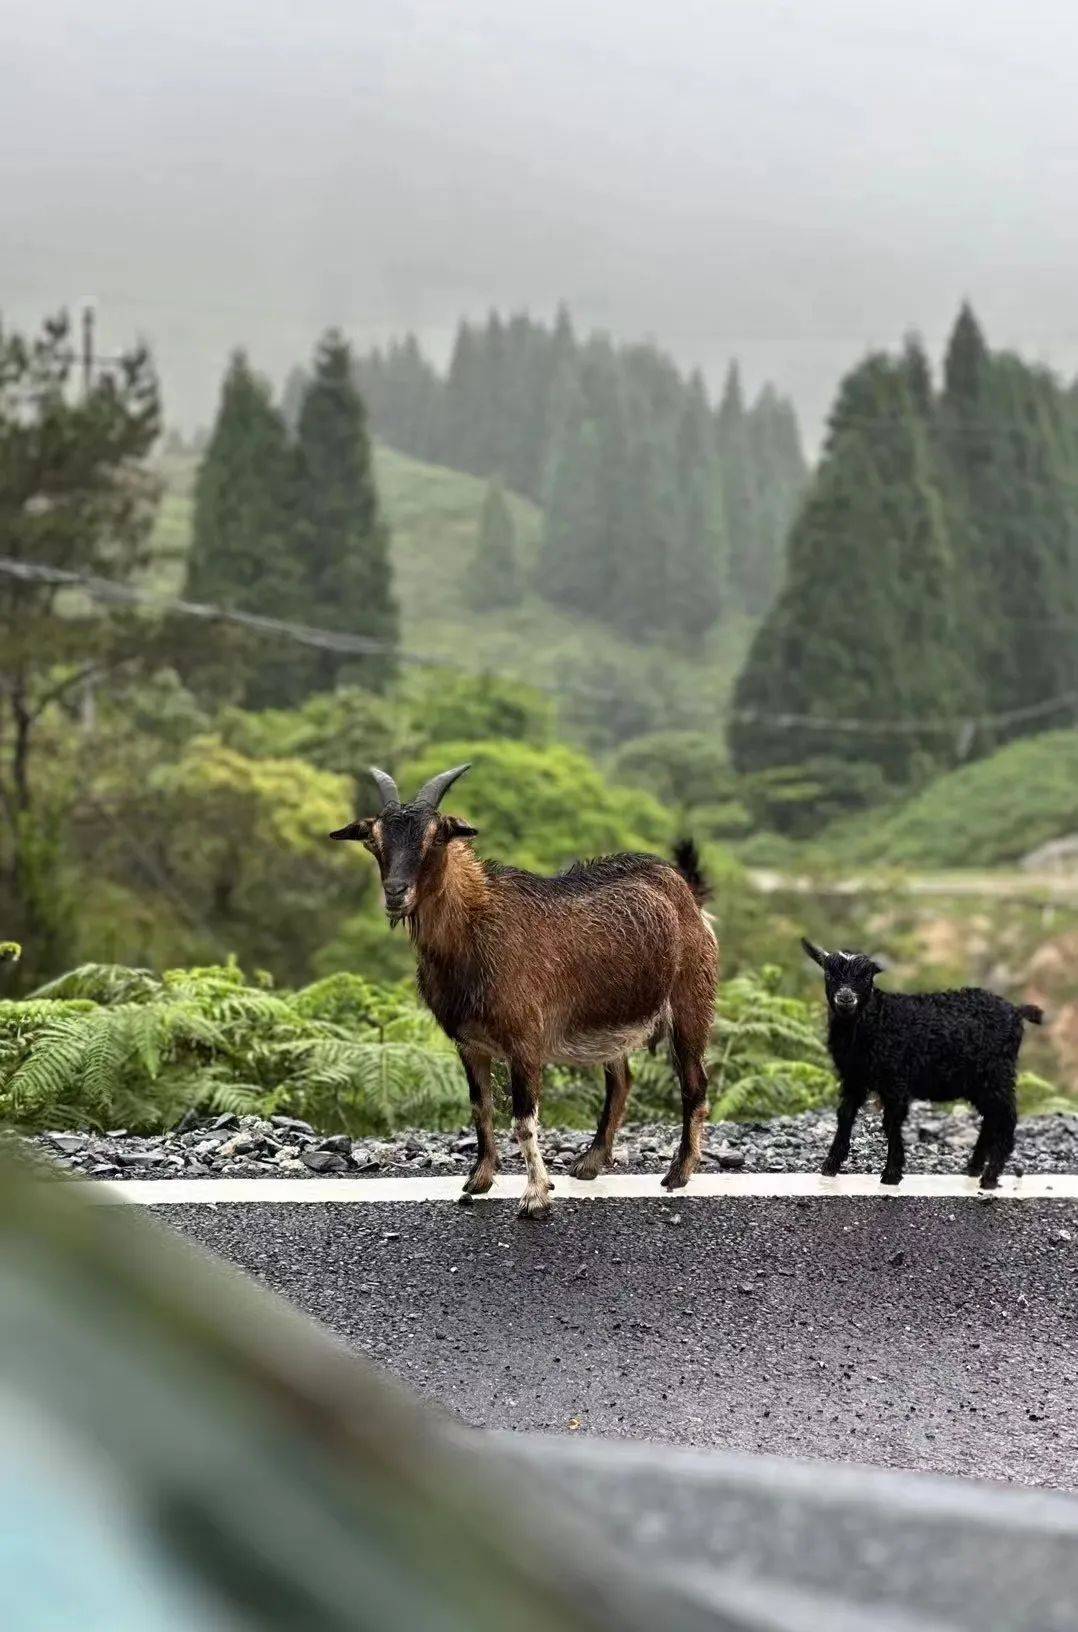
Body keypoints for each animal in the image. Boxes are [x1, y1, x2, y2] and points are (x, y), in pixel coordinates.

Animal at [327, 760, 714, 1214]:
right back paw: (589, 1162)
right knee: (621, 1081)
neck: (475, 928)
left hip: (691, 1001)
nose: (395, 893)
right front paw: (479, 1179)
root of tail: (685, 889)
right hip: (609, 1022)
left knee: (694, 1083)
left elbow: (524, 1119)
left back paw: (678, 1172)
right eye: (373, 840)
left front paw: (535, 1196)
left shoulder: (525, 1041)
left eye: (437, 836)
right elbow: (480, 1107)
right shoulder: (469, 1043)